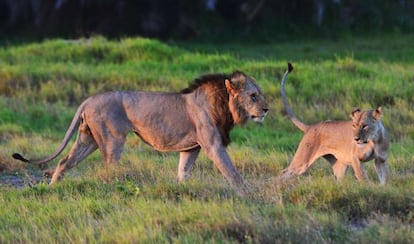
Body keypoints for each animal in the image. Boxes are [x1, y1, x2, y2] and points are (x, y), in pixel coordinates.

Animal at [13, 70, 268, 194]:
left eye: (260, 94)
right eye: (253, 95)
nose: (267, 109)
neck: (225, 106)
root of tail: (88, 100)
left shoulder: (191, 148)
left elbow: (183, 173)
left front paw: (180, 191)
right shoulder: (213, 144)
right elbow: (232, 172)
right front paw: (250, 195)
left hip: (88, 139)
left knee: (64, 161)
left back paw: (52, 188)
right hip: (112, 140)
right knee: (110, 168)